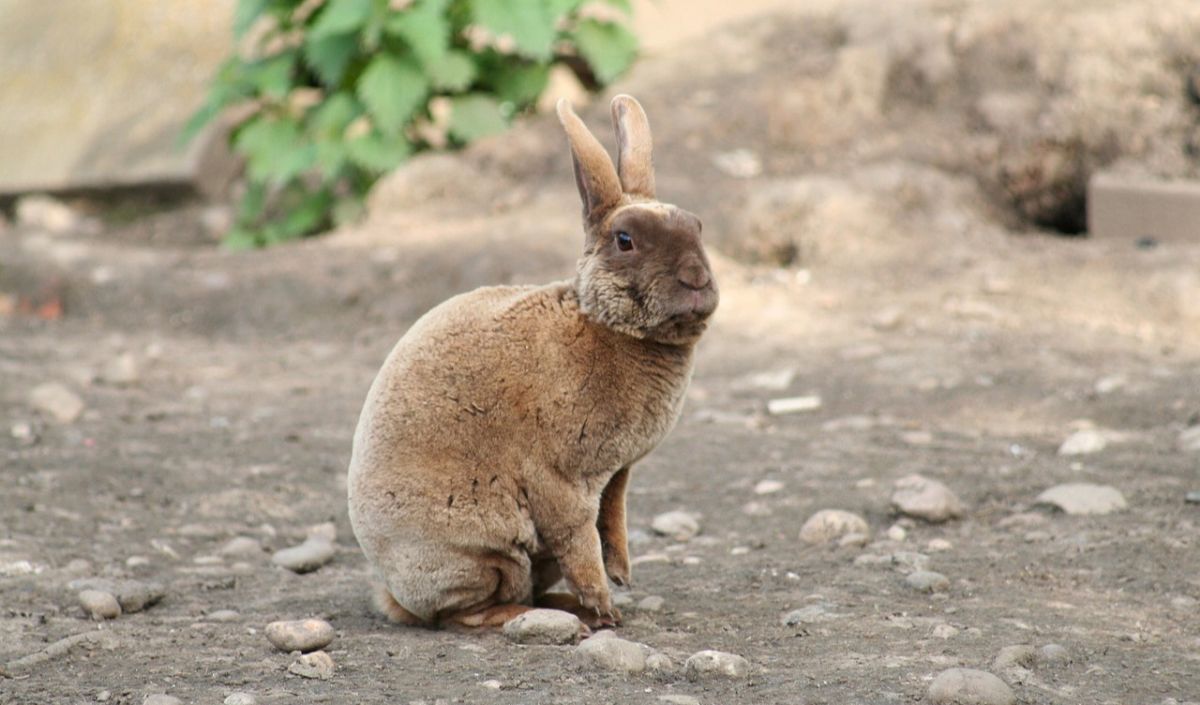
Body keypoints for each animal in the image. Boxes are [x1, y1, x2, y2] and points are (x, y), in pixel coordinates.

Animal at [350, 93, 720, 628]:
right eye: (625, 240)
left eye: (697, 227)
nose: (697, 279)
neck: (606, 325)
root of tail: (395, 595)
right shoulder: (560, 477)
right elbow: (579, 537)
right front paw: (607, 607)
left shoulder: (617, 476)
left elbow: (612, 522)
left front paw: (622, 578)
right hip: (484, 551)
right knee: (464, 611)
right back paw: (534, 615)